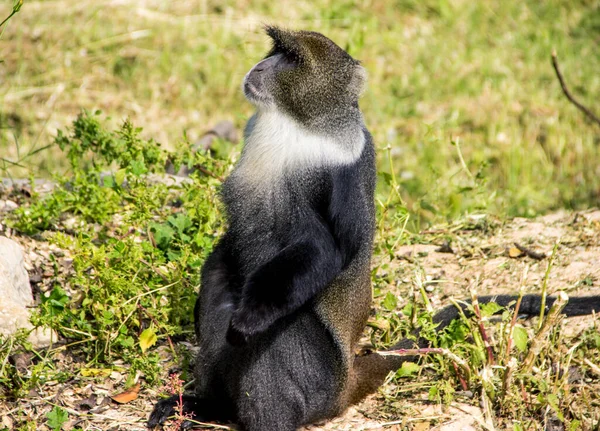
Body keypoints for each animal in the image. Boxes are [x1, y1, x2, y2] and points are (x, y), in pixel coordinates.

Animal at [149, 27, 600, 431]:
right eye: (274, 51)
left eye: (290, 58)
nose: (260, 66)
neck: (298, 125)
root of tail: (347, 379)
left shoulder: (333, 176)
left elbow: (323, 249)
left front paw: (250, 318)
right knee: (219, 285)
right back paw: (207, 408)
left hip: (317, 376)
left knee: (279, 334)